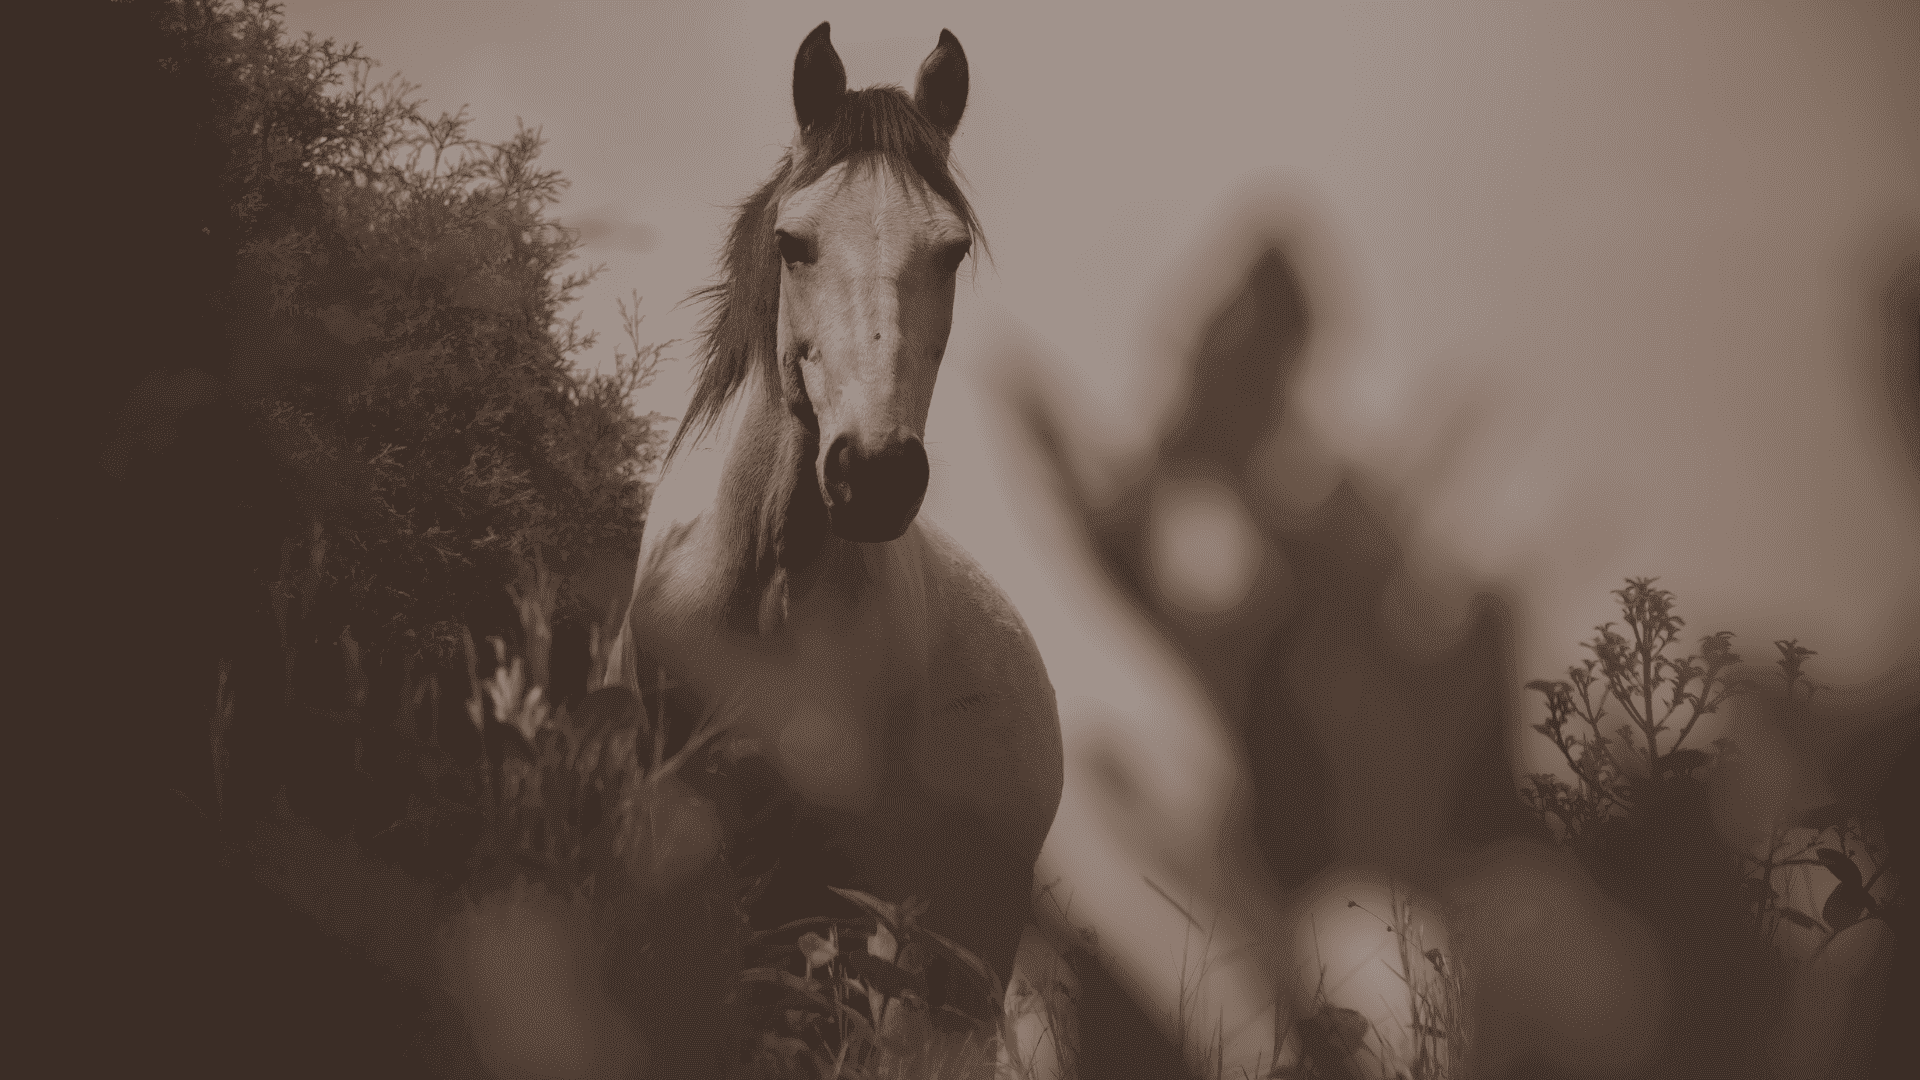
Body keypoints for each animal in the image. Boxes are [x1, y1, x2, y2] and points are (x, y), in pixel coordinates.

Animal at [602, 21, 1064, 1024]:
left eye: (951, 252)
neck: (758, 593)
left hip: (953, 953)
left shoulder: (813, 880)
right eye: (794, 242)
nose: (876, 474)